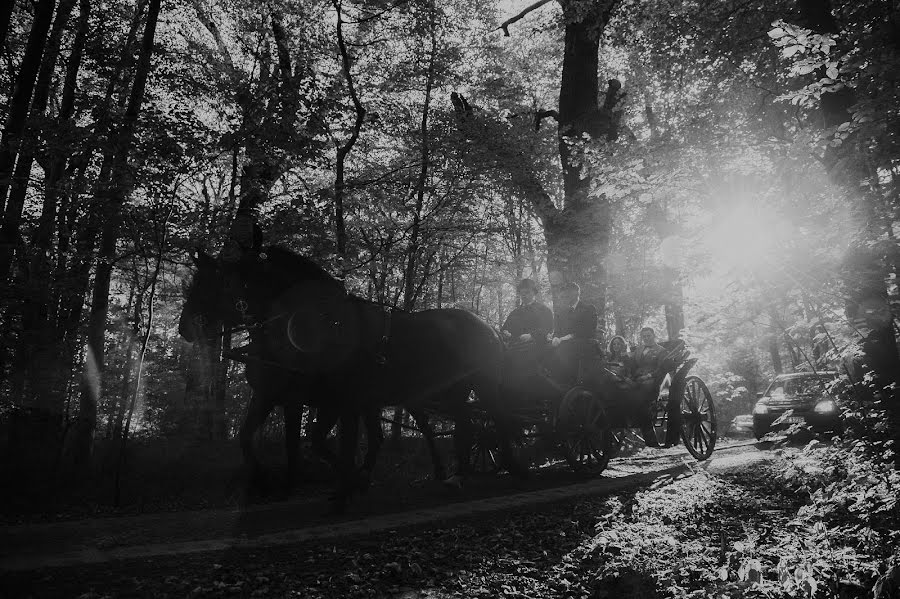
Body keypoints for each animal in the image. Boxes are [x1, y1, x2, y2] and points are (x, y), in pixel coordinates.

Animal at [180, 248, 520, 506]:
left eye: (213, 282)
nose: (185, 328)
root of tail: (489, 327)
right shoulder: (286, 397)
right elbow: (257, 437)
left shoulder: (325, 399)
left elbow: (318, 443)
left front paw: (337, 489)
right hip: (445, 392)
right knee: (464, 424)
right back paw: (457, 474)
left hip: (480, 385)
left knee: (496, 418)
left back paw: (511, 469)